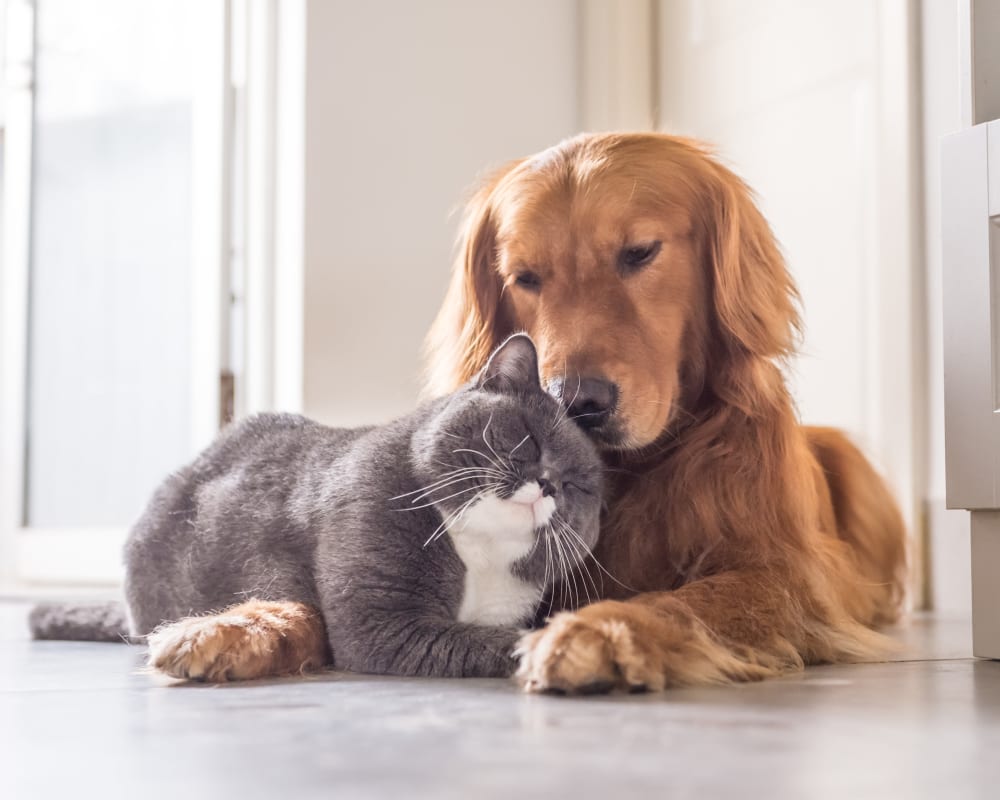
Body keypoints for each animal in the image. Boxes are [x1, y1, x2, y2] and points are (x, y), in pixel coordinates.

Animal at [31, 334, 604, 680]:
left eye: (579, 486)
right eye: (528, 439)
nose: (548, 485)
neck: (479, 555)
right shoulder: (382, 623)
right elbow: (494, 640)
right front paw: (556, 648)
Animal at [426, 133, 912, 692]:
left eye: (639, 253)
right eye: (524, 277)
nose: (577, 401)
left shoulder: (785, 575)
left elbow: (687, 601)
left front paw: (600, 631)